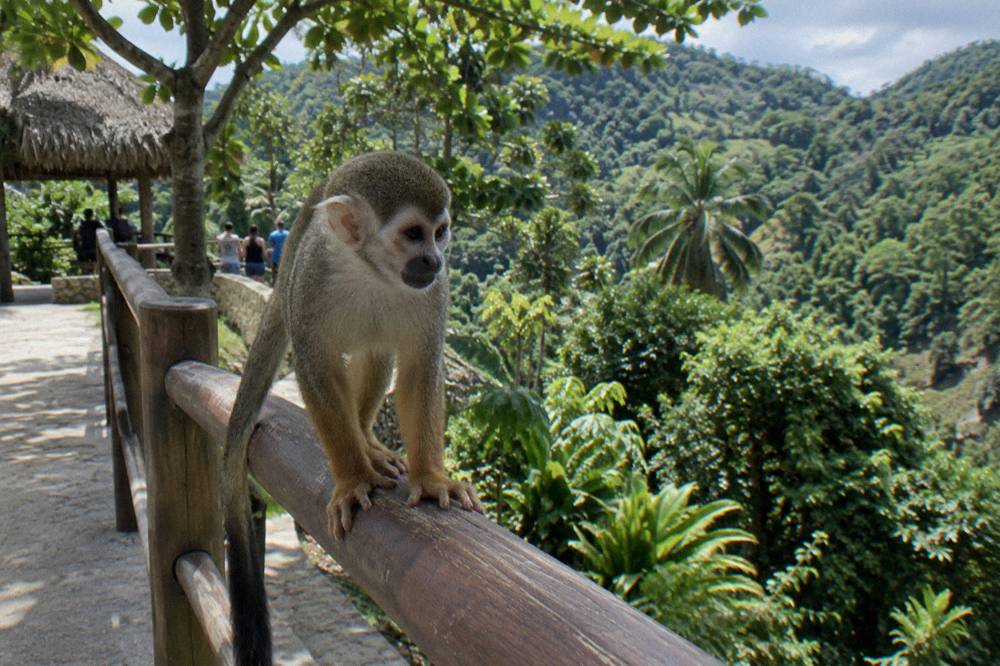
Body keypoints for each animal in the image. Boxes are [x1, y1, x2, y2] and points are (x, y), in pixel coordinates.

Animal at [222, 151, 484, 665]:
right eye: (413, 233)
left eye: (440, 230)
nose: (435, 259)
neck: (371, 270)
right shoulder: (312, 277)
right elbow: (315, 366)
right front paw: (353, 478)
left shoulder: (434, 291)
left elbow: (421, 367)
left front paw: (429, 478)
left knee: (377, 351)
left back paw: (368, 440)